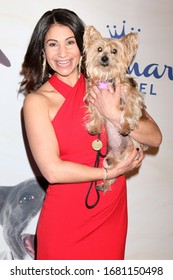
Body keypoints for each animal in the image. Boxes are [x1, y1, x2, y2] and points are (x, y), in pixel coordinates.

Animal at [83, 25, 147, 191]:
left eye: (114, 51)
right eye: (99, 49)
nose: (104, 58)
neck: (106, 78)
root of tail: (118, 153)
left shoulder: (131, 95)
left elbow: (130, 110)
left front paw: (126, 126)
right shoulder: (94, 97)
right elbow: (96, 114)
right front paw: (94, 127)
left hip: (131, 153)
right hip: (108, 159)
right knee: (111, 171)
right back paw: (104, 184)